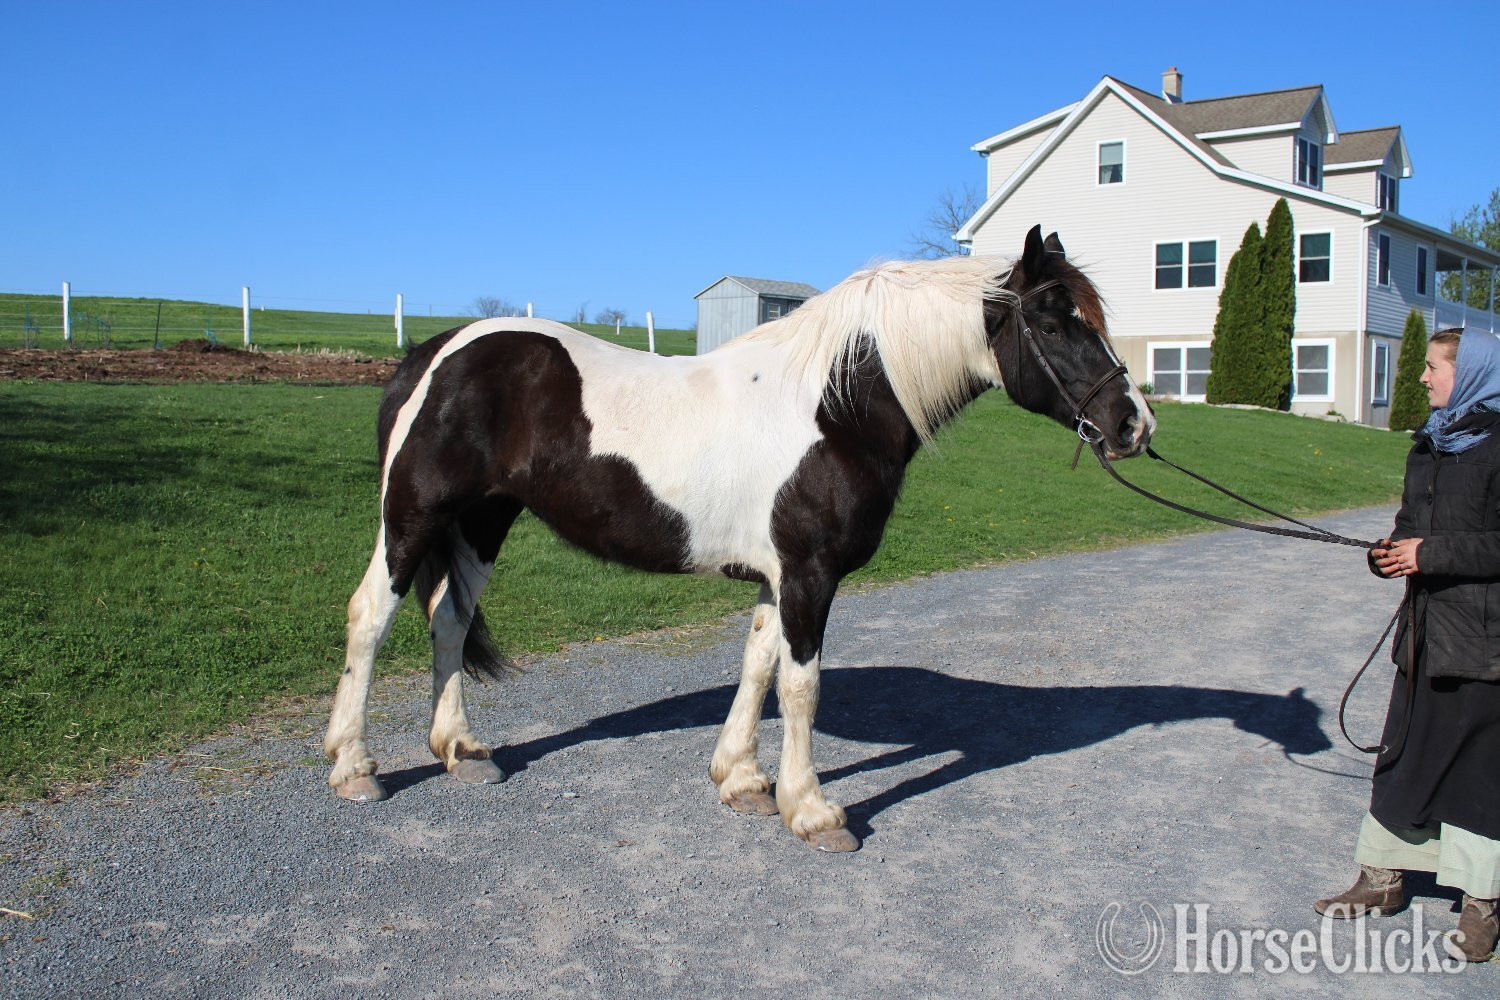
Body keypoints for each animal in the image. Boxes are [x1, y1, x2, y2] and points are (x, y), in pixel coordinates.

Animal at [323, 225, 1155, 852]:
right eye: (1051, 322)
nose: (1133, 423)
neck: (835, 406)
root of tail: (431, 354)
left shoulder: (778, 575)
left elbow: (758, 667)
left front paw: (744, 781)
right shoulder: (811, 573)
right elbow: (801, 685)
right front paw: (811, 810)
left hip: (483, 521)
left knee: (448, 620)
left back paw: (461, 751)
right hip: (413, 517)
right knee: (371, 615)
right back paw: (355, 767)